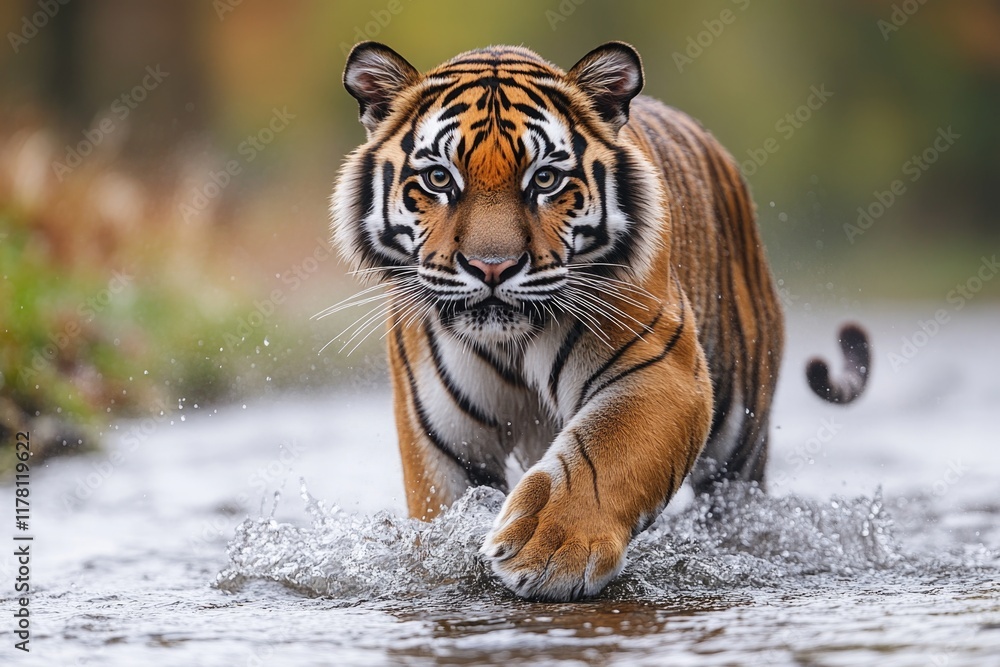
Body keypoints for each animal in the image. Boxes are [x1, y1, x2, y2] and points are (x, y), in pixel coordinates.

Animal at [329, 41, 870, 601]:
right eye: (439, 178)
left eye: (545, 179)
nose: (491, 266)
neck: (508, 341)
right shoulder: (446, 441)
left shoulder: (662, 372)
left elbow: (600, 458)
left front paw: (549, 548)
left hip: (739, 443)